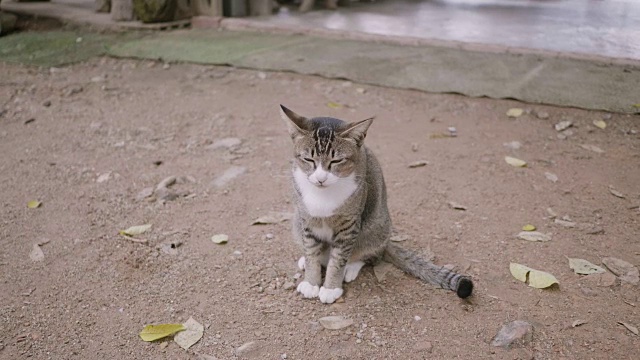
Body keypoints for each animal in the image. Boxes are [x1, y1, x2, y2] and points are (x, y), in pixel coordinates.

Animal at [282, 105, 476, 304]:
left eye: (336, 161)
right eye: (309, 160)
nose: (321, 178)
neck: (322, 194)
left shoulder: (349, 226)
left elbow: (338, 259)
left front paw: (331, 288)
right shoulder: (306, 220)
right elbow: (312, 252)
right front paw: (311, 281)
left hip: (375, 227)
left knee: (371, 254)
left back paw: (351, 267)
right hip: (297, 221)